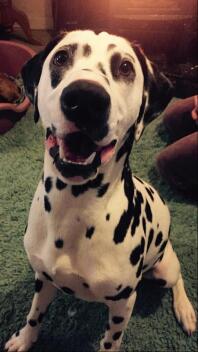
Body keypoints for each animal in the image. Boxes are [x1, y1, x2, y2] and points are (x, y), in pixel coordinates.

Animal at [5, 30, 196, 352]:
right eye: (61, 57)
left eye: (125, 67)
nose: (85, 99)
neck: (73, 208)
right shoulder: (43, 278)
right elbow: (34, 315)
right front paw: (24, 339)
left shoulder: (123, 303)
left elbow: (111, 341)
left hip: (164, 269)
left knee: (179, 276)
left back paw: (186, 311)